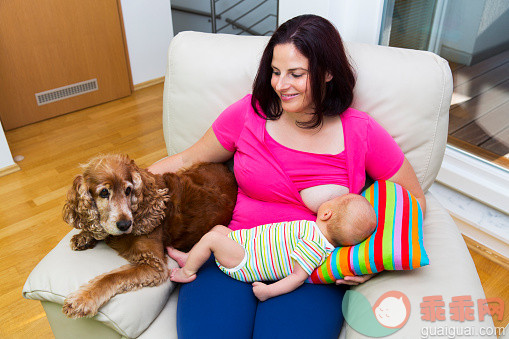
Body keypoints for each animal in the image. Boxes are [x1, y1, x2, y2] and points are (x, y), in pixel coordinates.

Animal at [61, 155, 236, 318]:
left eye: (128, 190)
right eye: (104, 192)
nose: (125, 224)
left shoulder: (154, 264)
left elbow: (112, 277)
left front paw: (82, 299)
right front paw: (84, 236)